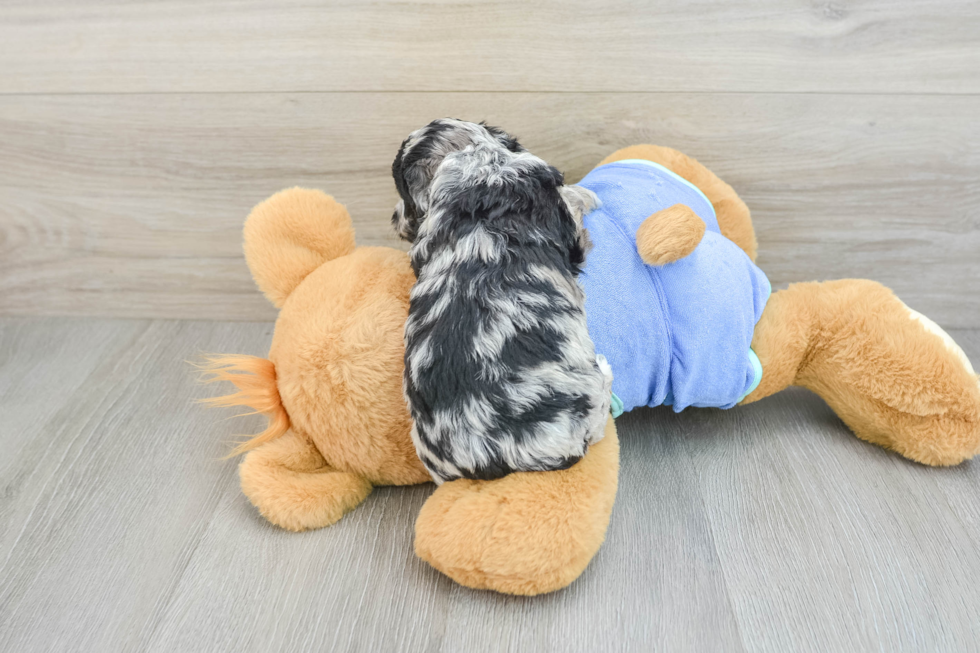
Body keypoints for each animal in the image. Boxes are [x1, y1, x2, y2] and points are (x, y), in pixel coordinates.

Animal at [392, 118, 612, 484]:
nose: (394, 219)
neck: (479, 164)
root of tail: (490, 455)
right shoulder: (568, 227)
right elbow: (573, 203)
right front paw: (588, 195)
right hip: (587, 398)